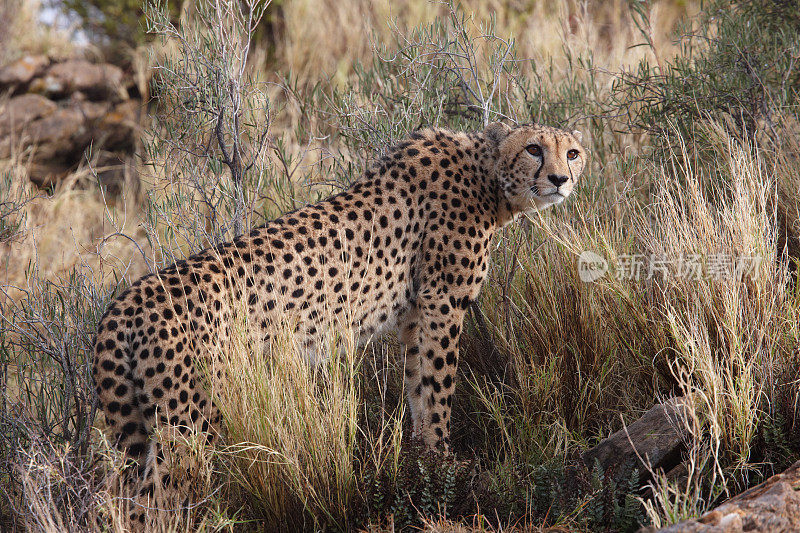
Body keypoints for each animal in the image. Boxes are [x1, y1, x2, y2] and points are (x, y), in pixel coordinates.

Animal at [92, 120, 588, 520]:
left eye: (572, 152)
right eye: (534, 149)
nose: (560, 179)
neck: (487, 175)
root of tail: (126, 299)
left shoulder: (415, 316)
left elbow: (420, 389)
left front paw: (425, 463)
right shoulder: (443, 303)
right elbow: (440, 387)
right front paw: (446, 464)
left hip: (143, 424)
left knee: (117, 493)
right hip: (192, 419)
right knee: (151, 500)